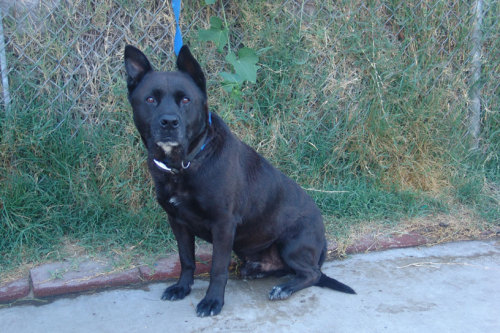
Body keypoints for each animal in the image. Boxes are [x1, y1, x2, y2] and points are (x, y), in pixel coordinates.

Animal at [123, 44, 354, 316]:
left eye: (186, 99)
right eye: (150, 99)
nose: (169, 122)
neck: (185, 163)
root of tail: (322, 240)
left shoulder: (223, 224)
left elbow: (217, 268)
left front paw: (213, 301)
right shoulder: (177, 221)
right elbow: (186, 259)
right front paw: (182, 287)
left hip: (292, 244)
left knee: (313, 274)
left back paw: (284, 288)